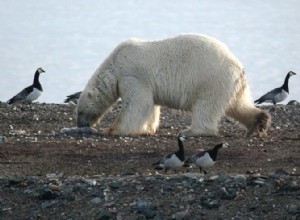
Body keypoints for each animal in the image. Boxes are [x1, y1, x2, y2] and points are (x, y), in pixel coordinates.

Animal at [76, 33, 270, 137]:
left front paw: (112, 130)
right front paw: (147, 129)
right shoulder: (145, 82)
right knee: (238, 104)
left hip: (211, 80)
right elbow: (151, 106)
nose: (79, 125)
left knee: (206, 106)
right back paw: (258, 122)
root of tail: (237, 66)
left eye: (80, 112)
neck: (115, 63)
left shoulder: (132, 76)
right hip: (232, 84)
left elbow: (136, 104)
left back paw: (190, 131)